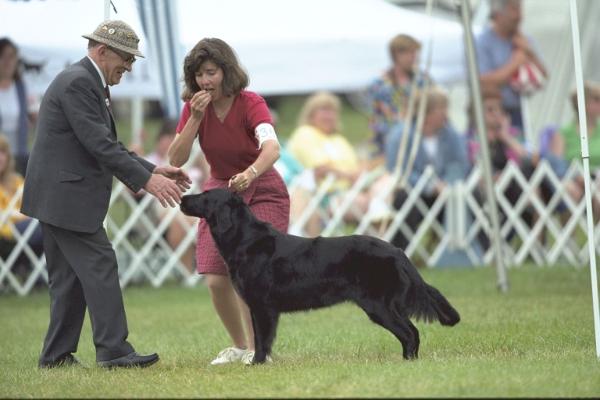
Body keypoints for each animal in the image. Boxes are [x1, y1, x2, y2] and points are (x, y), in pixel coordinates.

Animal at [178, 189, 460, 364]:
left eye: (204, 195)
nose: (181, 197)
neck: (245, 240)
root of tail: (398, 251)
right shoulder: (260, 307)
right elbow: (263, 339)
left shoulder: (261, 306)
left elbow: (261, 339)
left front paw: (256, 363)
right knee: (411, 331)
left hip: (378, 305)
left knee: (410, 332)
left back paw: (406, 362)